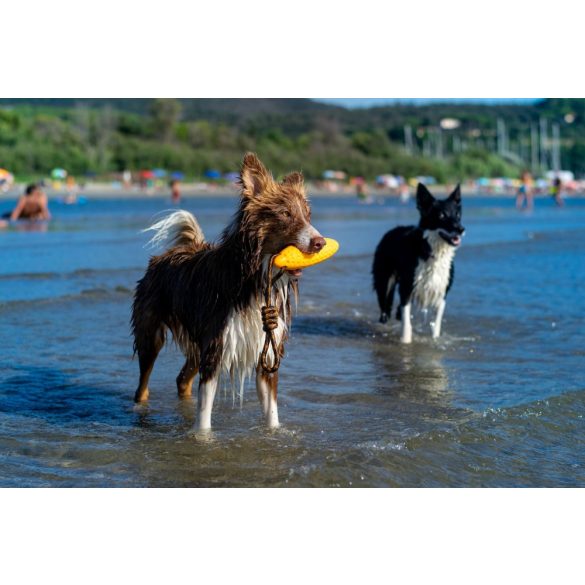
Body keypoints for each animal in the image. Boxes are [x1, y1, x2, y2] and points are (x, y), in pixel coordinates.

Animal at [130, 154, 326, 428]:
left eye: (308, 215)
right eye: (285, 213)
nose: (320, 243)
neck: (255, 281)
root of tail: (162, 257)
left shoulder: (266, 349)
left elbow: (272, 414)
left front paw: (276, 433)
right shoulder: (216, 346)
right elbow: (204, 417)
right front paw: (202, 436)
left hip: (196, 341)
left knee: (182, 379)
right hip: (151, 334)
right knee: (143, 385)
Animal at [372, 184, 464, 342]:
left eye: (457, 215)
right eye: (441, 215)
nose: (461, 229)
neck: (431, 251)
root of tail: (393, 230)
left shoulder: (441, 292)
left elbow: (436, 325)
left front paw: (435, 341)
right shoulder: (407, 288)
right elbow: (406, 323)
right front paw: (405, 342)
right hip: (384, 283)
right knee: (385, 311)